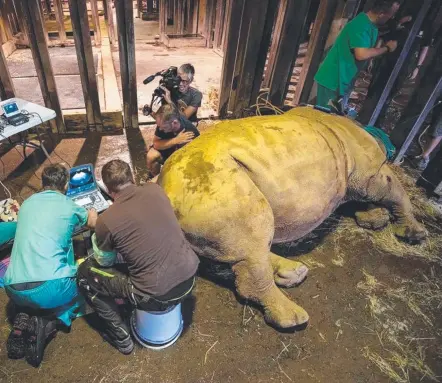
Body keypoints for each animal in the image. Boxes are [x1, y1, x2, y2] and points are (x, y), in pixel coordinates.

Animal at [157, 107, 426, 330]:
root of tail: (164, 187)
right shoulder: (370, 173)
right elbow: (395, 190)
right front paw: (416, 234)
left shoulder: (357, 177)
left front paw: (374, 219)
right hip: (218, 185)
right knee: (255, 231)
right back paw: (294, 318)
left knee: (250, 244)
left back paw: (293, 273)